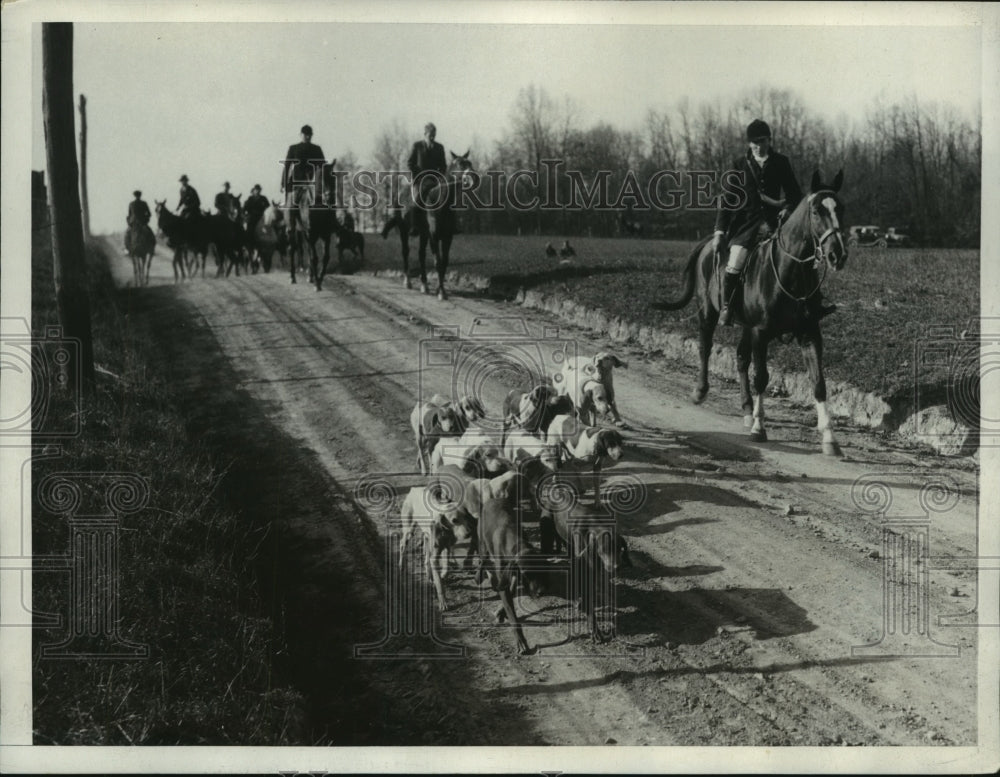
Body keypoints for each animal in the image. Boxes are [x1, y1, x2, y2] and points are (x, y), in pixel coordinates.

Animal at [656, 170, 852, 454]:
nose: (838, 254)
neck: (790, 271)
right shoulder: (762, 332)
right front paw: (760, 428)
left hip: (746, 327)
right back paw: (701, 391)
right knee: (705, 347)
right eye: (816, 211)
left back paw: (747, 408)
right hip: (708, 312)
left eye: (841, 208)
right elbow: (761, 377)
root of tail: (708, 243)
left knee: (740, 358)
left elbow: (818, 382)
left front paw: (829, 437)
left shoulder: (809, 333)